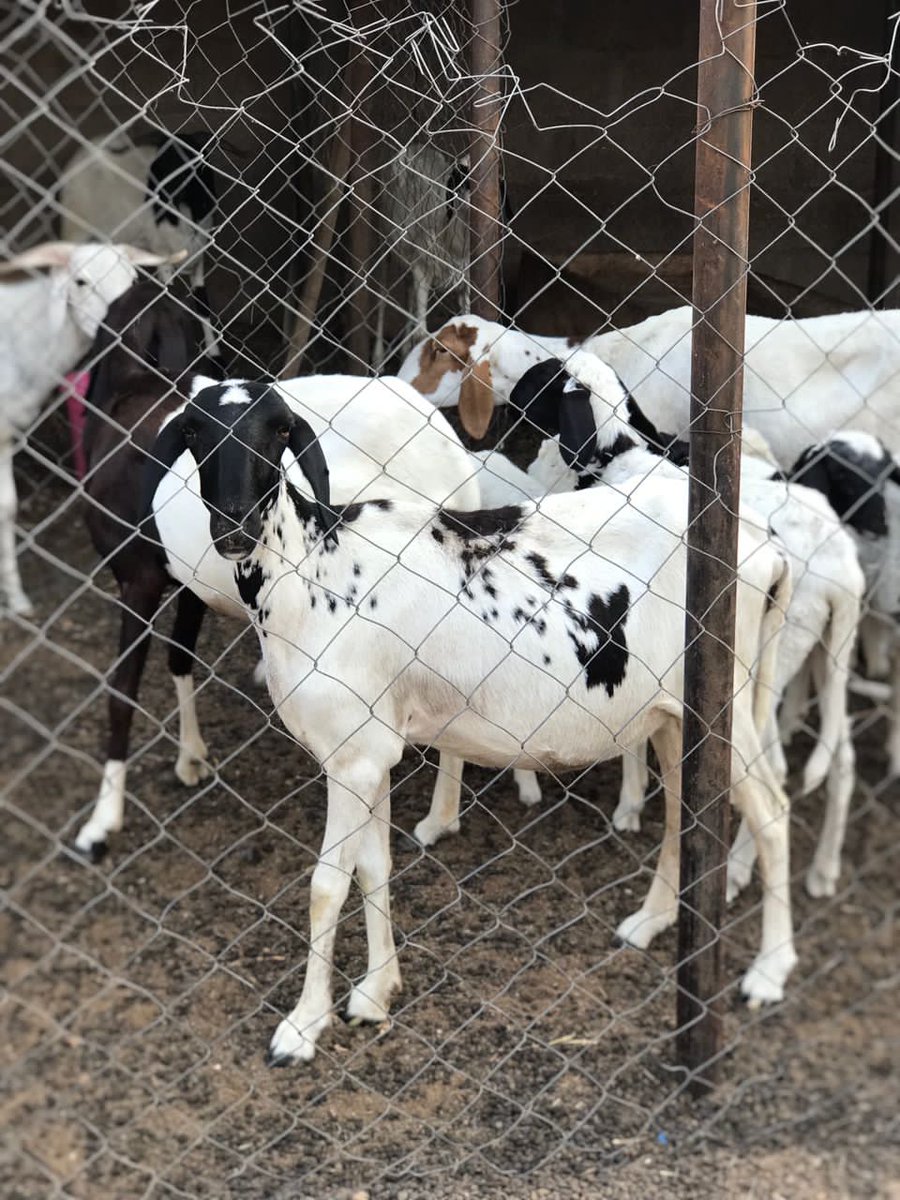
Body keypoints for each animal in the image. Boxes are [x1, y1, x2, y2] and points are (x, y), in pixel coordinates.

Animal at [59, 130, 220, 356]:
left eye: (205, 202)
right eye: (164, 186)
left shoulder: (198, 255)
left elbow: (202, 303)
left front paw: (215, 353)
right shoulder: (163, 254)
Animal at [149, 377, 796, 1064]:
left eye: (276, 431)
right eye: (192, 433)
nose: (233, 528)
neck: (314, 570)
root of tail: (767, 551)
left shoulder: (349, 756)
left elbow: (327, 884)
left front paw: (301, 1026)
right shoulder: (371, 751)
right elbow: (373, 866)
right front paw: (376, 993)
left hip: (727, 702)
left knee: (772, 813)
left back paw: (769, 971)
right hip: (674, 715)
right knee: (686, 813)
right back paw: (650, 922)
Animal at [511, 352, 866, 898]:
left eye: (543, 379)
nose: (509, 399)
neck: (620, 456)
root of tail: (840, 569)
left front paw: (630, 804)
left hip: (769, 658)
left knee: (775, 766)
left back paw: (739, 869)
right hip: (830, 649)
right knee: (841, 757)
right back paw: (824, 871)